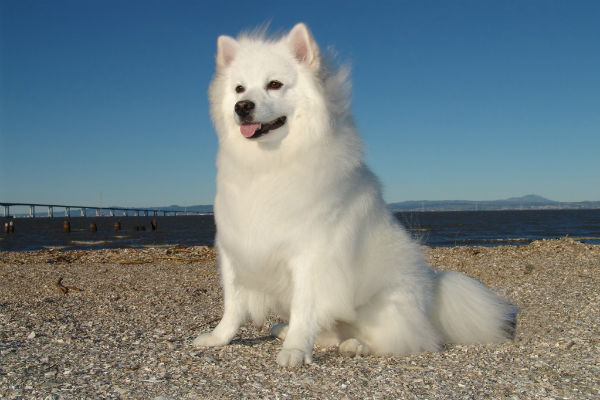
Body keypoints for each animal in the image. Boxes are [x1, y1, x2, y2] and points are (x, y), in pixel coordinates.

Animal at [193, 21, 516, 366]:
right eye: (239, 89)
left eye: (275, 84)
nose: (242, 107)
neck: (269, 164)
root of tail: (432, 299)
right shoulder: (235, 249)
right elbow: (233, 307)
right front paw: (218, 339)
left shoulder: (311, 257)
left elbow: (304, 309)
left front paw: (295, 350)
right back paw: (287, 330)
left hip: (382, 306)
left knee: (403, 339)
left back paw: (355, 345)